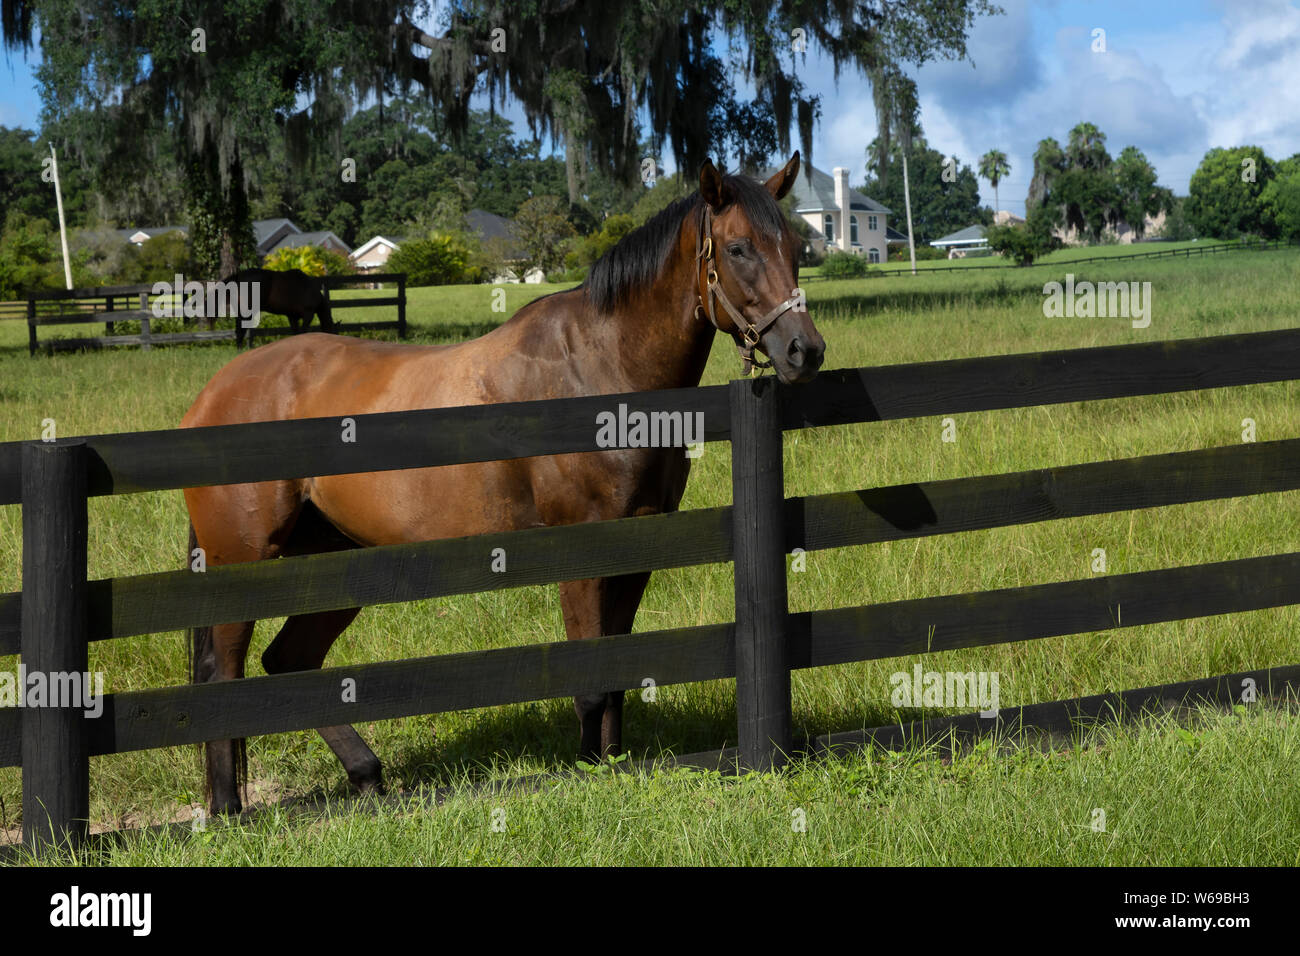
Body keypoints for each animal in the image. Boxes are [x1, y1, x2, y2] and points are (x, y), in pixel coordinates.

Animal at [181, 153, 825, 814]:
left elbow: (617, 671)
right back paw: (227, 808)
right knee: (224, 675)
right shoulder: (582, 555)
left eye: (794, 247)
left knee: (289, 660)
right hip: (244, 564)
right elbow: (591, 681)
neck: (600, 369)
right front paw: (588, 773)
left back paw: (366, 774)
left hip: (335, 561)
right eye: (740, 248)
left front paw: (613, 766)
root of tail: (214, 395)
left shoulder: (634, 552)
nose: (805, 350)